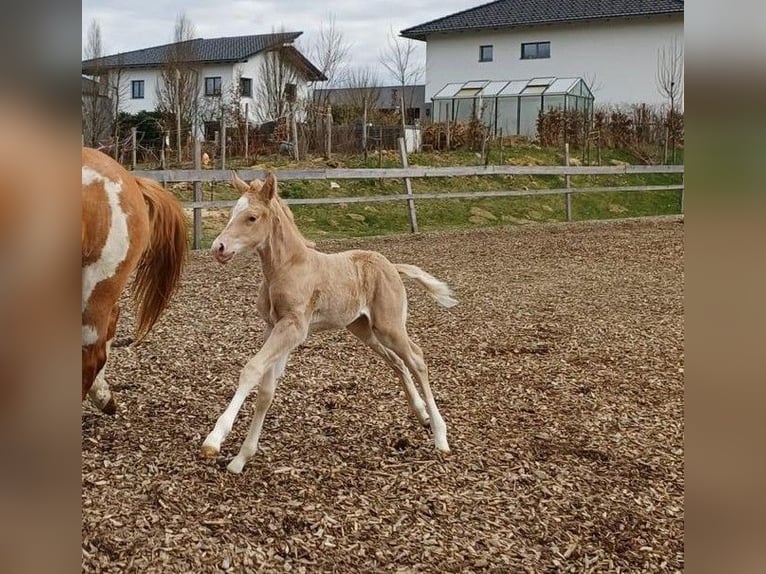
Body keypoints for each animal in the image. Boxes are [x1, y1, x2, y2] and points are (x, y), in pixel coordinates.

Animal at [201, 171, 457, 473]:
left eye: (251, 217)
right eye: (232, 212)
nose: (218, 248)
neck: (288, 268)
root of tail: (392, 267)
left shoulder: (293, 328)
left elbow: (251, 370)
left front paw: (214, 440)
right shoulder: (272, 326)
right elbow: (266, 390)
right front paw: (241, 459)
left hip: (389, 326)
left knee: (416, 359)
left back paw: (440, 436)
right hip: (363, 329)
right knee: (397, 362)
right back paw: (422, 415)